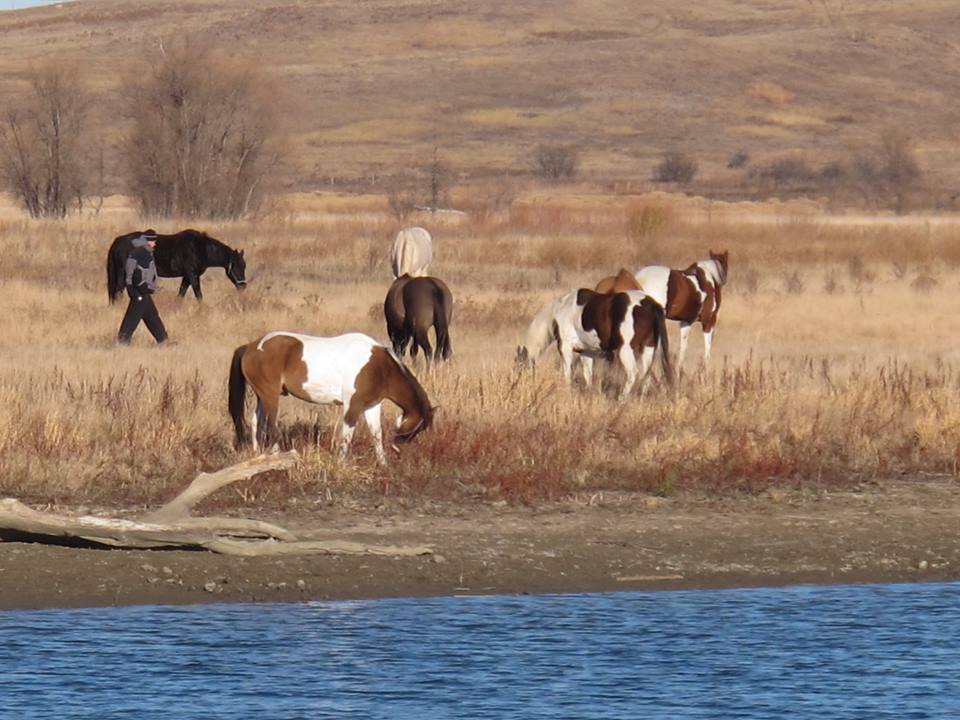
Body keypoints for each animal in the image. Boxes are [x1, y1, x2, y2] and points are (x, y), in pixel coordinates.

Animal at [107, 228, 247, 302]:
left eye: (244, 266)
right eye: (236, 266)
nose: (243, 286)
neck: (199, 248)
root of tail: (117, 242)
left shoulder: (187, 277)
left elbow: (181, 294)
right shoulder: (192, 275)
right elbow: (199, 294)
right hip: (123, 273)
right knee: (118, 291)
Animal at [228, 331, 433, 464]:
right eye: (419, 427)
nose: (399, 449)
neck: (380, 367)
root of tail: (250, 347)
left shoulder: (372, 406)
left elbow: (376, 434)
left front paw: (383, 464)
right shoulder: (353, 405)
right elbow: (347, 435)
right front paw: (340, 463)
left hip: (262, 396)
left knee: (257, 422)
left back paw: (257, 454)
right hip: (270, 395)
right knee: (271, 424)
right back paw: (278, 455)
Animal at [517, 288, 673, 400]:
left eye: (520, 365)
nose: (519, 385)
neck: (559, 310)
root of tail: (650, 304)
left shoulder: (565, 347)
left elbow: (567, 372)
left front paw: (567, 392)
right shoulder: (586, 351)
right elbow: (588, 375)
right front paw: (589, 394)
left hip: (626, 350)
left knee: (633, 373)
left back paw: (622, 399)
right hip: (648, 350)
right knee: (646, 376)